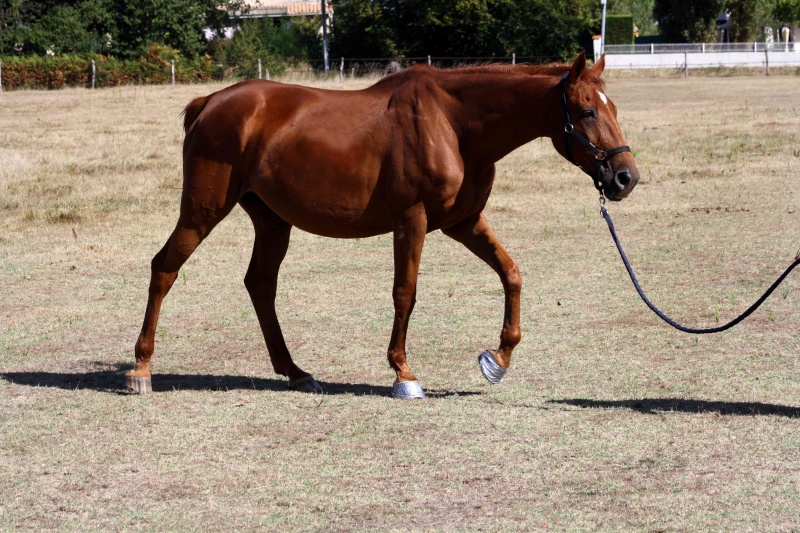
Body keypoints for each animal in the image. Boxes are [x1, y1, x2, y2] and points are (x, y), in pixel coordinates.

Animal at [126, 53, 636, 394]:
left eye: (614, 108)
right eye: (588, 111)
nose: (625, 177)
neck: (453, 123)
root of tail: (210, 102)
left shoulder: (464, 222)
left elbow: (511, 273)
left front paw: (498, 358)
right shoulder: (412, 220)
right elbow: (405, 292)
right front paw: (403, 373)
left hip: (272, 222)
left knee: (260, 285)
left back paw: (295, 371)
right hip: (203, 211)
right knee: (164, 268)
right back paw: (141, 369)